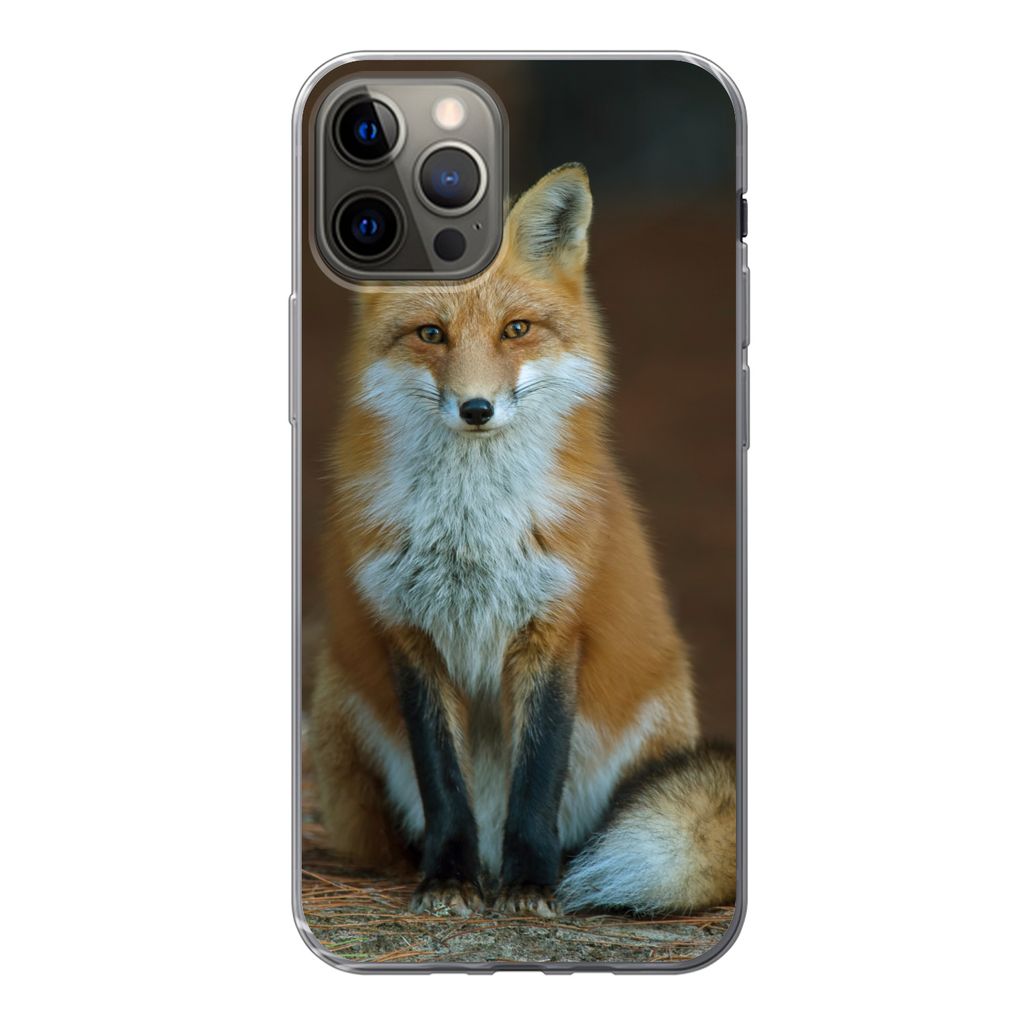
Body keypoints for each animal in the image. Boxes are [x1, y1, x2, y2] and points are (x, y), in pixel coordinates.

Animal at [309, 163, 736, 918]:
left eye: (516, 330)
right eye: (431, 333)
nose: (476, 408)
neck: (471, 531)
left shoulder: (552, 627)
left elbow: (536, 780)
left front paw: (531, 883)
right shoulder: (410, 634)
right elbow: (443, 784)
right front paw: (448, 877)